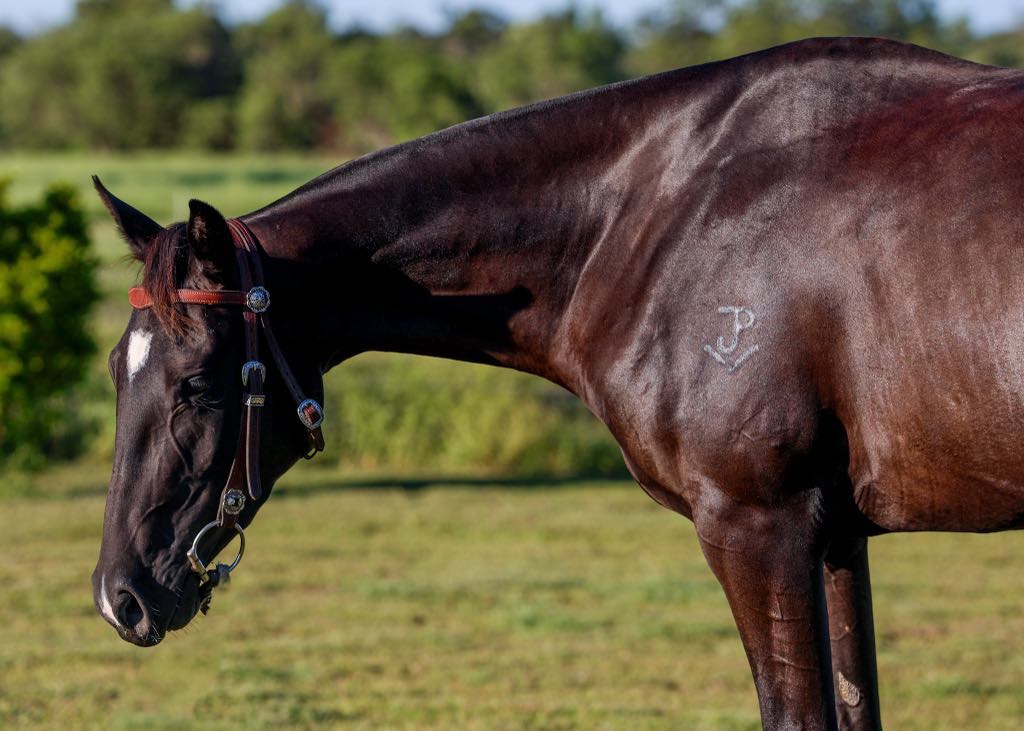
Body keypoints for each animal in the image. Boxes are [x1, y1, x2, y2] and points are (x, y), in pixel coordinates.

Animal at [91, 36, 1024, 729]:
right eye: (115, 372)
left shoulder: (761, 525)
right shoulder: (836, 537)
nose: (117, 598)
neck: (658, 212)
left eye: (196, 385)